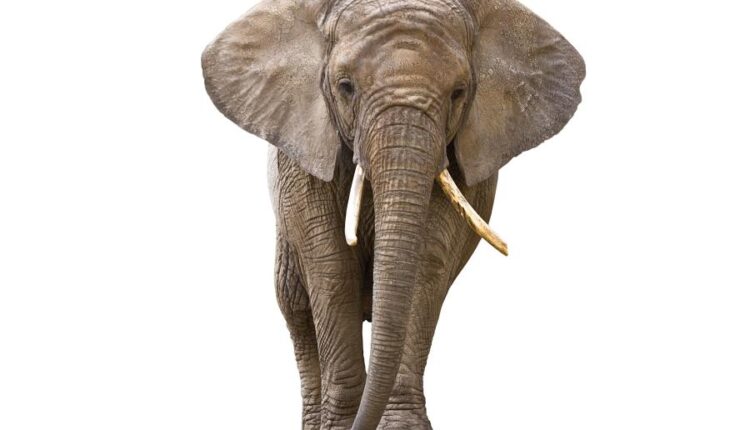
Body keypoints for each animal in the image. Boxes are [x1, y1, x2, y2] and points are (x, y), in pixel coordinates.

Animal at [201, 0, 584, 428]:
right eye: (345, 86)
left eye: (458, 93)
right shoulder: (301, 144)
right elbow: (330, 263)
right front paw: (342, 424)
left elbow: (426, 260)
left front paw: (400, 424)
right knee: (295, 306)